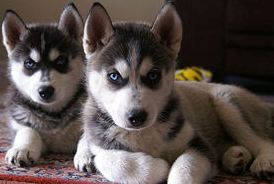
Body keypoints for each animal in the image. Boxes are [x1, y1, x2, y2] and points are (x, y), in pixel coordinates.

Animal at [2, 2, 85, 167]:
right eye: (29, 63)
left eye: (61, 60)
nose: (45, 91)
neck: (53, 114)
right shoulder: (19, 120)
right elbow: (27, 130)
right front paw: (22, 149)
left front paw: (88, 153)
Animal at [74, 1, 274, 184]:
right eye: (114, 76)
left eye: (153, 75)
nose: (137, 117)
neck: (143, 134)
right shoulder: (101, 145)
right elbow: (114, 162)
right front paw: (160, 166)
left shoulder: (197, 144)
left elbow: (185, 167)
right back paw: (236, 157)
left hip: (227, 103)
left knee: (262, 139)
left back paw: (263, 161)